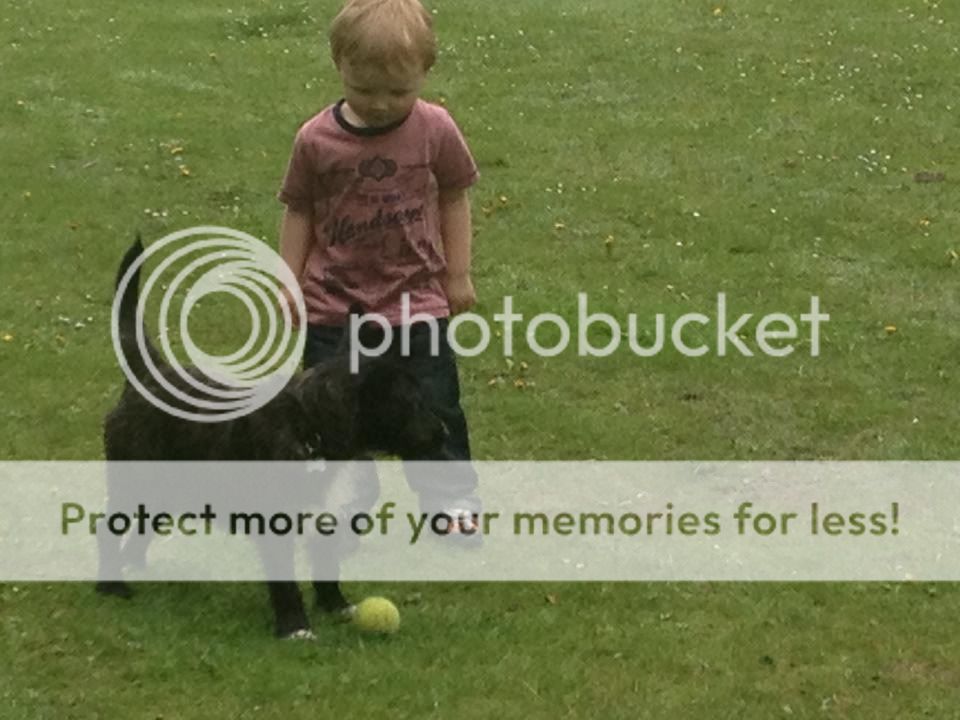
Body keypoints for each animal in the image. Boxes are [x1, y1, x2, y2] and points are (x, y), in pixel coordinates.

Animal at [97, 239, 442, 640]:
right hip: (134, 483)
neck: (311, 426)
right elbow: (285, 580)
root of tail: (146, 377)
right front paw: (295, 625)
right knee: (107, 530)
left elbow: (326, 566)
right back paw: (112, 584)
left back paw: (134, 564)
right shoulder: (275, 525)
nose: (443, 432)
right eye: (409, 403)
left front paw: (336, 605)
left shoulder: (324, 519)